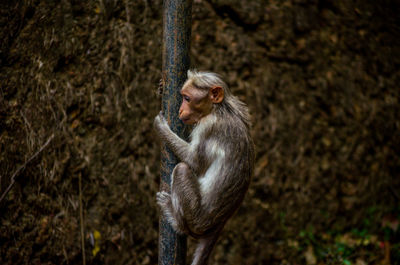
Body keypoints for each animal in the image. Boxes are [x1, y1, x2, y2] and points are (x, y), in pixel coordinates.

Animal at [153, 69, 253, 262]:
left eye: (188, 98)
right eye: (183, 97)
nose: (180, 109)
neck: (219, 109)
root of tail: (221, 222)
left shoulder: (208, 126)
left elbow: (194, 162)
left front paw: (161, 128)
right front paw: (161, 88)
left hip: (196, 218)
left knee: (182, 169)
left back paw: (175, 219)